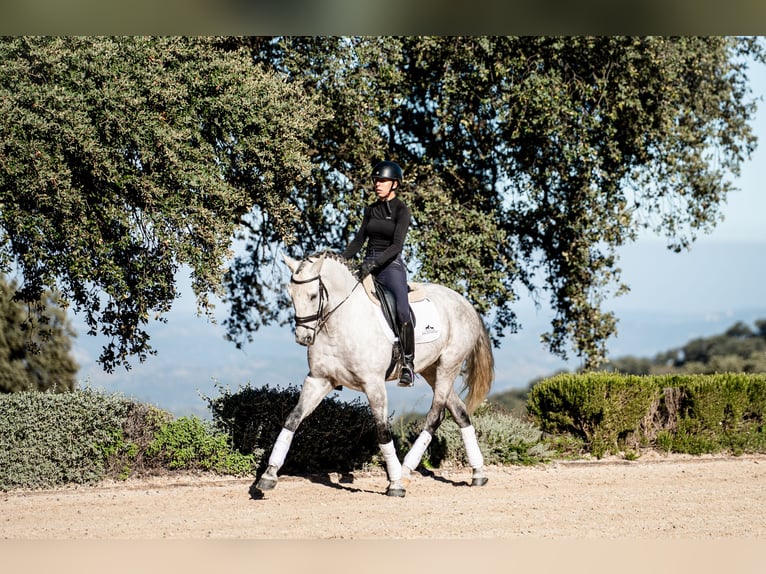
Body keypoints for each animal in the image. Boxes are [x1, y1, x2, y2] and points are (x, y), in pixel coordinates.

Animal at [256, 253, 498, 500]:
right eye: (291, 294)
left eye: (313, 295)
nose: (303, 337)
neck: (340, 323)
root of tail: (465, 303)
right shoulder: (318, 380)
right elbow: (293, 419)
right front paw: (269, 476)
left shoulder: (373, 385)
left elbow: (382, 432)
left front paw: (395, 484)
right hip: (432, 369)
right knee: (459, 412)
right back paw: (478, 473)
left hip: (449, 365)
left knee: (435, 415)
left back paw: (405, 471)